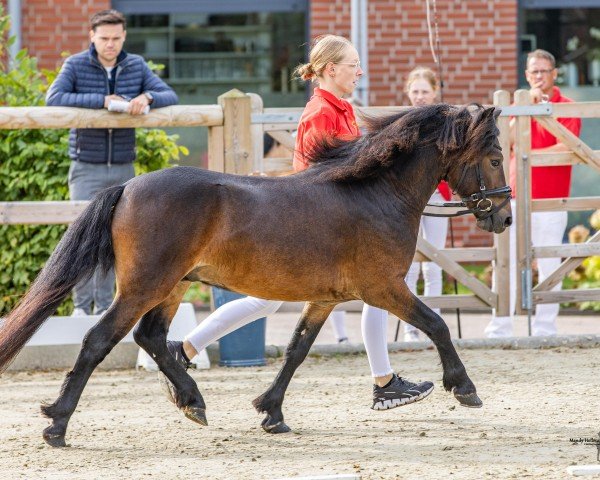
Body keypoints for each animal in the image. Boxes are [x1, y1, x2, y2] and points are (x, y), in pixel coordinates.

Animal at [0, 104, 510, 446]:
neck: (374, 193)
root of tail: (126, 187)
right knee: (99, 340)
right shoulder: (384, 287)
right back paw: (57, 423)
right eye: (495, 158)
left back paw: (192, 400)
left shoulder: (327, 298)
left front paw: (271, 412)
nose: (503, 218)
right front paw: (464, 388)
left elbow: (297, 350)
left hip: (173, 285)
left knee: (152, 338)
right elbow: (438, 325)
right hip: (145, 286)